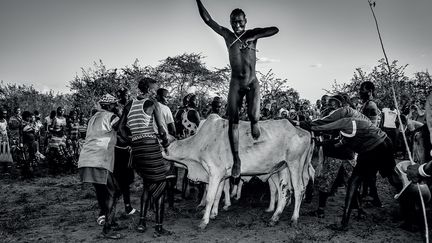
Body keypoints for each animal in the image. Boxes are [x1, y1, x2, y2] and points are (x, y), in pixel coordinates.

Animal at [163, 115, 314, 229]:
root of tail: (302, 131)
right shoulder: (221, 176)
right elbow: (218, 195)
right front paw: (214, 214)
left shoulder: (214, 173)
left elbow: (210, 197)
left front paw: (204, 221)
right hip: (282, 168)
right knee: (284, 192)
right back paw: (274, 217)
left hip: (295, 165)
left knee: (299, 189)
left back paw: (294, 218)